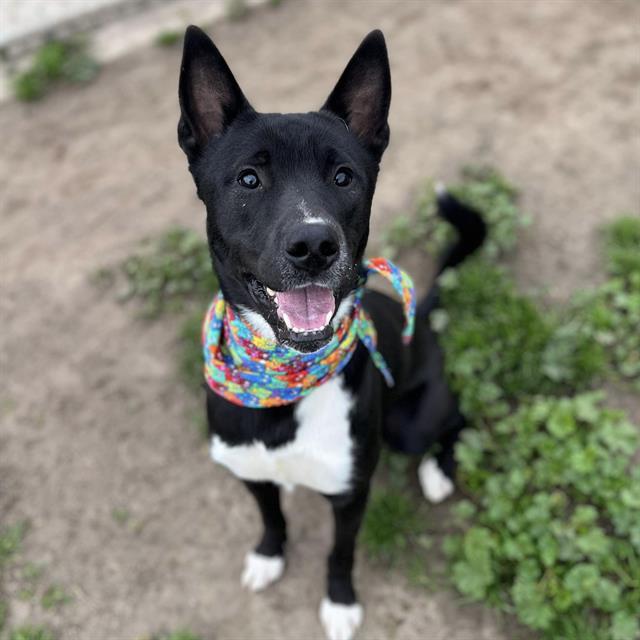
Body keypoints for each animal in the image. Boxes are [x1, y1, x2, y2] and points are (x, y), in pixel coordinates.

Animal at [175, 26, 484, 640]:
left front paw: (340, 604)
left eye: (344, 177)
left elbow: (339, 554)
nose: (314, 245)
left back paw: (438, 471)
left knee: (456, 419)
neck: (283, 383)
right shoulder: (251, 474)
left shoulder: (350, 494)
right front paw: (269, 555)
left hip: (409, 424)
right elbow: (271, 516)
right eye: (249, 179)